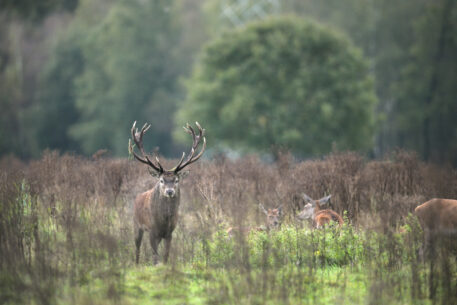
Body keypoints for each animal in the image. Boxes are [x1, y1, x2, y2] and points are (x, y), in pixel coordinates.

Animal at [129, 120, 206, 262]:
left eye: (176, 180)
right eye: (161, 180)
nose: (170, 191)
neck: (163, 221)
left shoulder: (169, 233)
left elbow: (165, 256)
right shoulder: (152, 231)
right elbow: (155, 257)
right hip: (136, 224)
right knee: (137, 248)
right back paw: (136, 263)